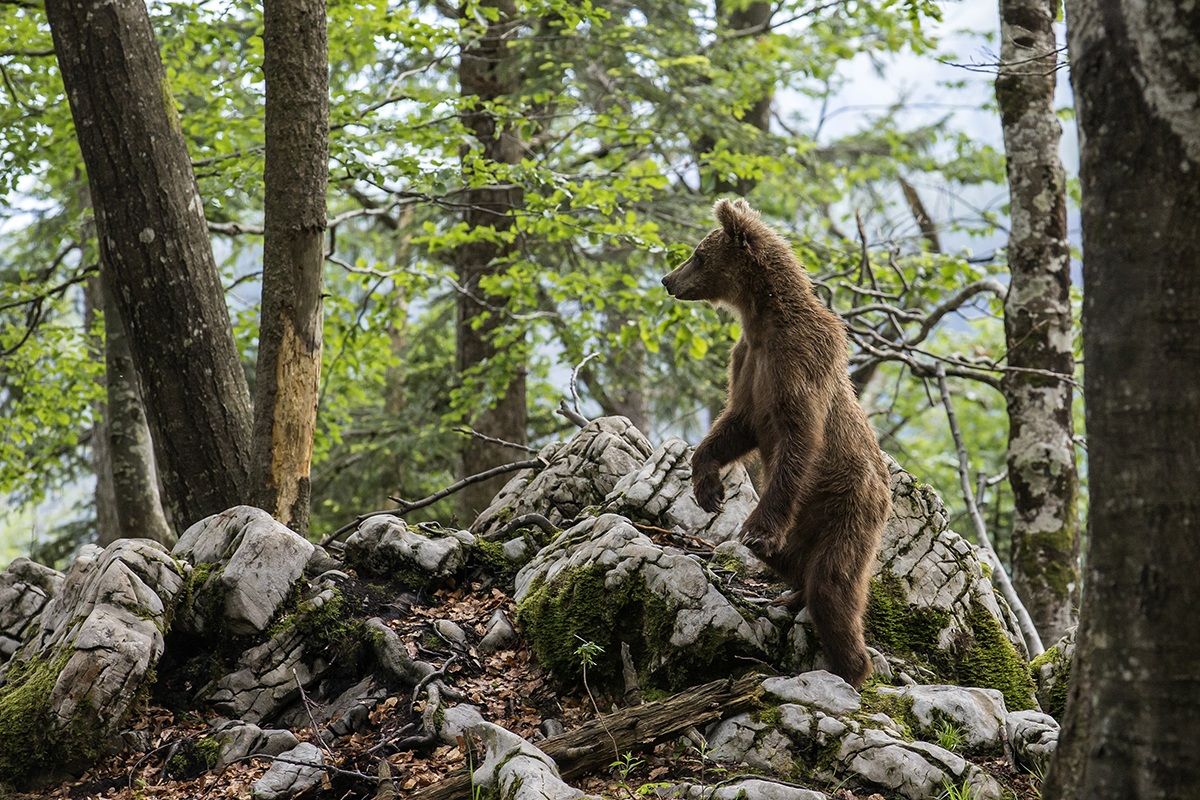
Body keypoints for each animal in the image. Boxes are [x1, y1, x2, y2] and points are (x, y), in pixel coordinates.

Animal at [661, 198, 892, 688]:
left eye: (698, 254)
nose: (668, 280)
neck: (761, 318)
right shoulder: (748, 362)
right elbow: (736, 425)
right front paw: (708, 487)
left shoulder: (796, 361)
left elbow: (797, 436)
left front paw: (756, 528)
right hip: (806, 526)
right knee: (795, 564)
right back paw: (790, 594)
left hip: (849, 507)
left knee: (833, 583)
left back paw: (851, 667)